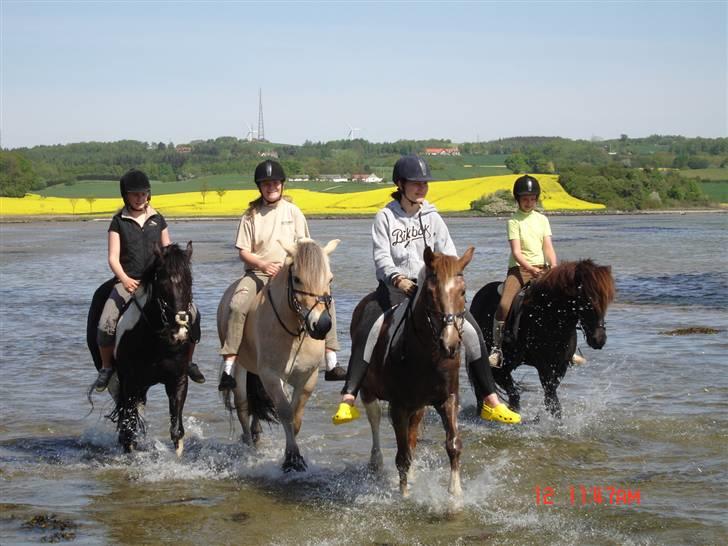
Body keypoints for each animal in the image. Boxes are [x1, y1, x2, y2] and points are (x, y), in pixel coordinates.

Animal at [86, 241, 198, 450]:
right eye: (163, 284)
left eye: (190, 282)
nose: (179, 333)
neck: (158, 342)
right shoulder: (129, 383)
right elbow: (128, 432)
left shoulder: (178, 380)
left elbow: (176, 433)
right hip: (116, 380)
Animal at [218, 238, 340, 472]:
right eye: (297, 278)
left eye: (330, 279)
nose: (322, 325)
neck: (295, 330)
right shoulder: (271, 376)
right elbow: (284, 412)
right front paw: (292, 458)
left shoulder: (307, 377)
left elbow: (295, 415)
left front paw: (291, 451)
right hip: (240, 367)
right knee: (243, 407)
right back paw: (249, 446)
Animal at [356, 246, 474, 498]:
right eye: (430, 293)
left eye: (462, 291)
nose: (450, 344)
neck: (428, 355)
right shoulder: (398, 406)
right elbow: (402, 456)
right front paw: (404, 495)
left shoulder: (448, 398)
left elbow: (453, 444)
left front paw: (455, 493)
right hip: (368, 391)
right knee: (375, 420)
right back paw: (376, 461)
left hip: (418, 406)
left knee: (412, 434)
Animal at [470, 260, 616, 416]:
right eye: (587, 300)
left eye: (606, 301)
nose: (599, 339)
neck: (550, 315)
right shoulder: (543, 366)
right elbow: (552, 401)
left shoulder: (560, 366)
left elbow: (551, 399)